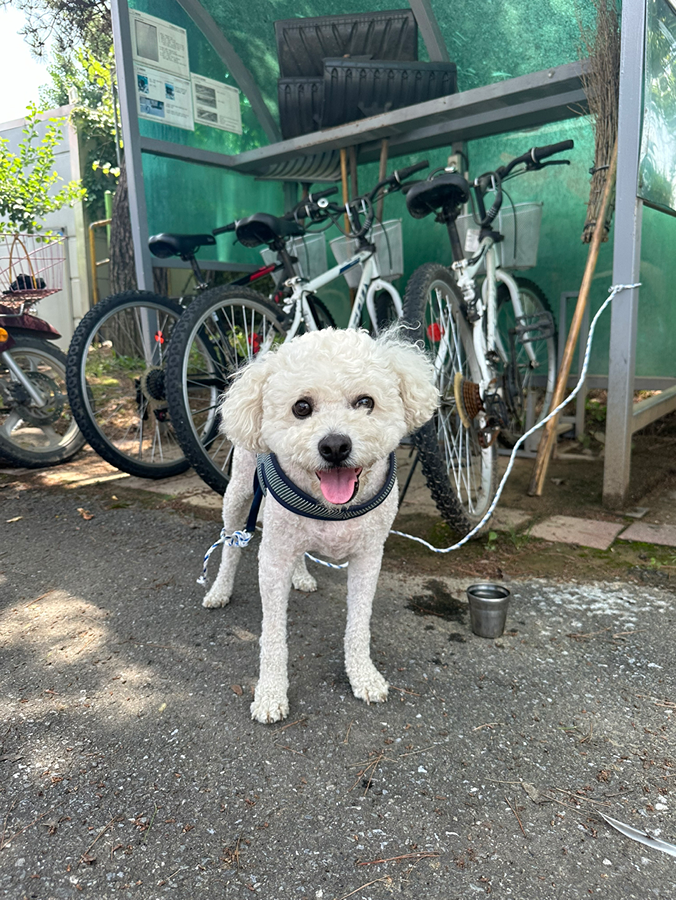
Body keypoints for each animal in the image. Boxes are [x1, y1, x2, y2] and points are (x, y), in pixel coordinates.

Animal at [202, 326, 438, 720]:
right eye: (302, 407)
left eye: (365, 402)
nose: (335, 446)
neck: (332, 507)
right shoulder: (273, 560)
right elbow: (272, 635)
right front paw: (270, 693)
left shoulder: (368, 558)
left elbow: (358, 624)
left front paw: (363, 676)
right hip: (238, 495)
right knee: (230, 545)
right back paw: (220, 590)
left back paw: (301, 576)